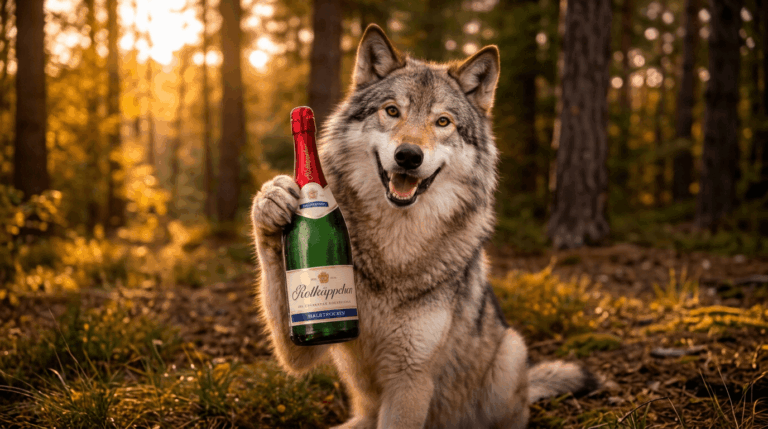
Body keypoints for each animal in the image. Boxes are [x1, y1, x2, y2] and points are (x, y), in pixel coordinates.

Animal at [251, 24, 597, 429]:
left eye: (443, 122)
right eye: (392, 111)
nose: (408, 156)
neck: (397, 246)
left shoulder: (410, 377)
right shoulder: (308, 339)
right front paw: (274, 202)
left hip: (511, 350)